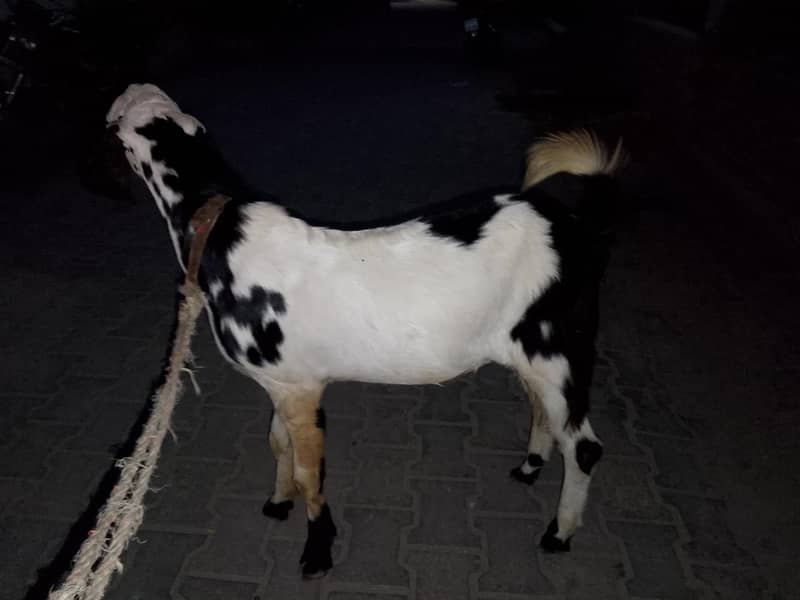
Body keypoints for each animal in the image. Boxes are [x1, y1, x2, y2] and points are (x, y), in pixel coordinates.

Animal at [102, 83, 623, 579]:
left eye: (119, 135)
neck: (219, 231)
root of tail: (578, 227)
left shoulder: (301, 390)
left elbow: (310, 471)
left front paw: (316, 553)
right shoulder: (285, 382)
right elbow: (278, 442)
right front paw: (279, 502)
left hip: (559, 346)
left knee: (584, 446)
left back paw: (559, 533)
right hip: (529, 350)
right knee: (543, 411)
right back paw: (531, 466)